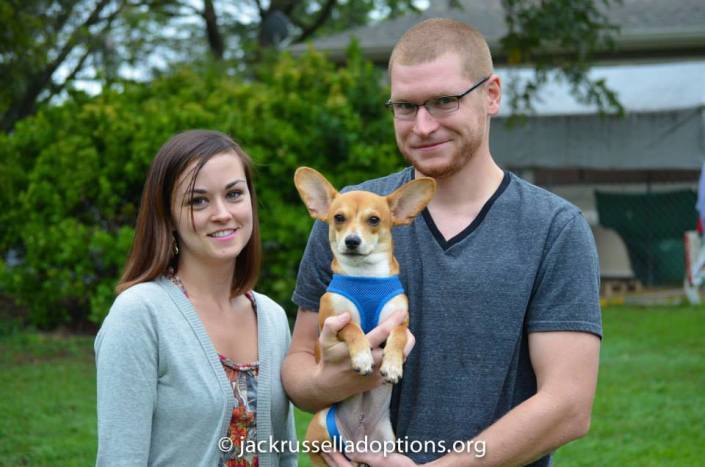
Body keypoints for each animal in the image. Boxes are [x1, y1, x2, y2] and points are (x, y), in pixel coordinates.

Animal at [292, 169, 434, 467]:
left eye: (374, 220)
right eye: (338, 218)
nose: (352, 241)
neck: (365, 277)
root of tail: (358, 441)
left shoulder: (400, 322)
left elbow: (397, 336)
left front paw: (392, 365)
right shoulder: (332, 323)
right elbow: (353, 327)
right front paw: (363, 358)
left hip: (387, 446)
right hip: (319, 432)